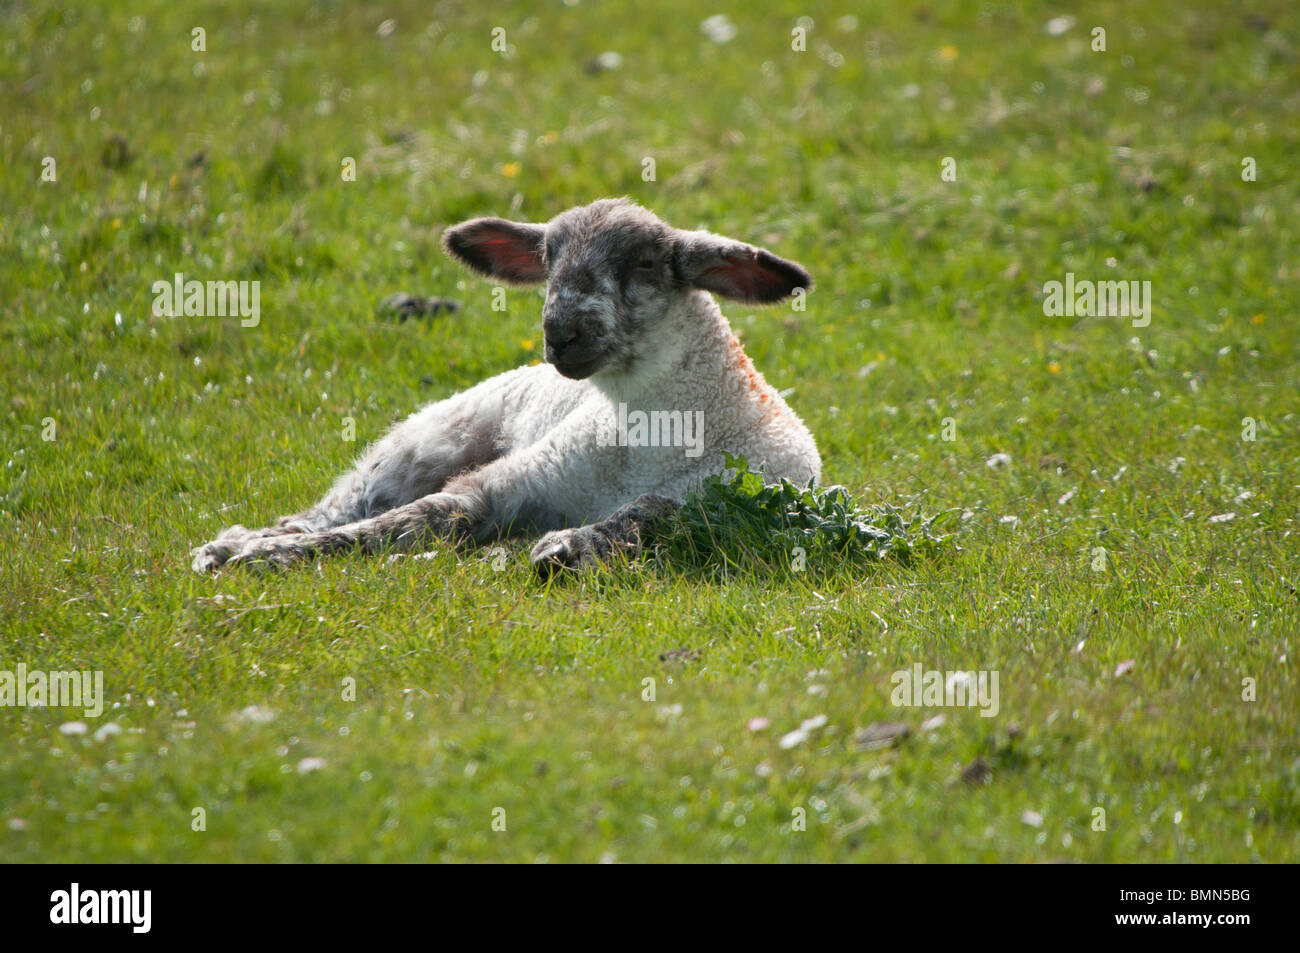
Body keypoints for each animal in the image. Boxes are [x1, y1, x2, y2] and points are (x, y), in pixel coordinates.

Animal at [190, 198, 821, 575]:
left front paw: (565, 547)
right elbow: (412, 520)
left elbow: (645, 516)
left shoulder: (720, 496)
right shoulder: (510, 482)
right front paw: (262, 554)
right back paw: (234, 543)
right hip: (423, 444)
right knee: (343, 506)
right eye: (547, 258)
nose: (560, 334)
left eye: (643, 264)